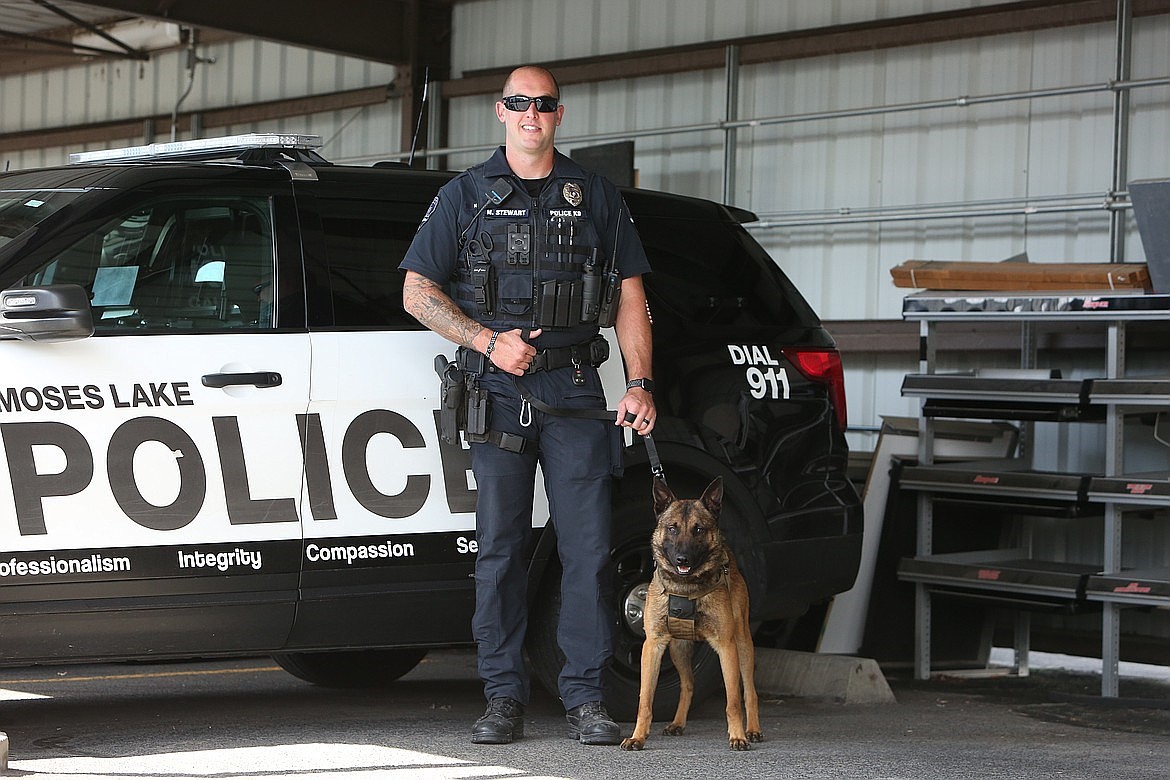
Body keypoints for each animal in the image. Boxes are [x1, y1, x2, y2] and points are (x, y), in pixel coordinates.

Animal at [620, 476, 763, 751]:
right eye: (672, 528)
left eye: (698, 529)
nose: (682, 558)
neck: (684, 587)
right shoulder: (652, 646)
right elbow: (645, 699)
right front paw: (638, 736)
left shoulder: (726, 647)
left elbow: (732, 701)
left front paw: (737, 736)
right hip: (678, 649)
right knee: (688, 684)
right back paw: (677, 722)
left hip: (742, 646)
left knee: (749, 691)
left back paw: (752, 730)